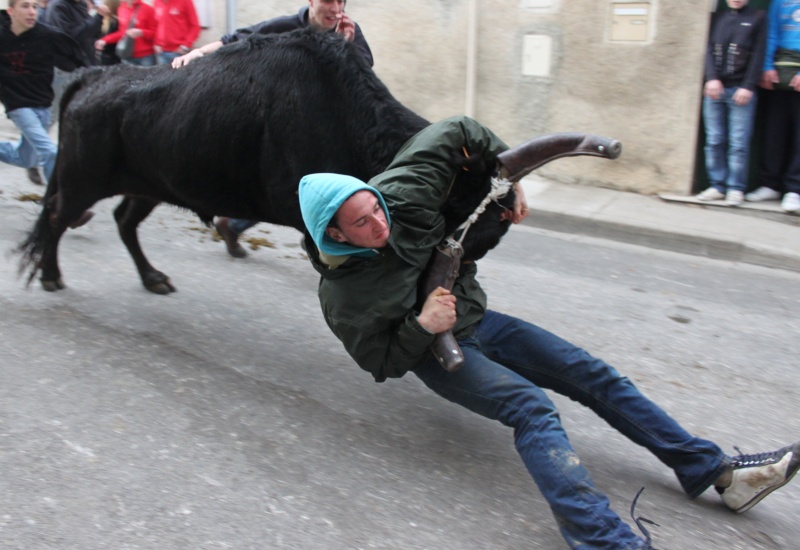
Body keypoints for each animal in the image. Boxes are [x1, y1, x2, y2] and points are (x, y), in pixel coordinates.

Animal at [15, 28, 620, 296]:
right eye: (458, 217)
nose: (451, 279)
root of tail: (96, 75)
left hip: (150, 185)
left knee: (122, 221)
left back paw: (154, 278)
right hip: (83, 179)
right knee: (57, 217)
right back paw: (52, 277)